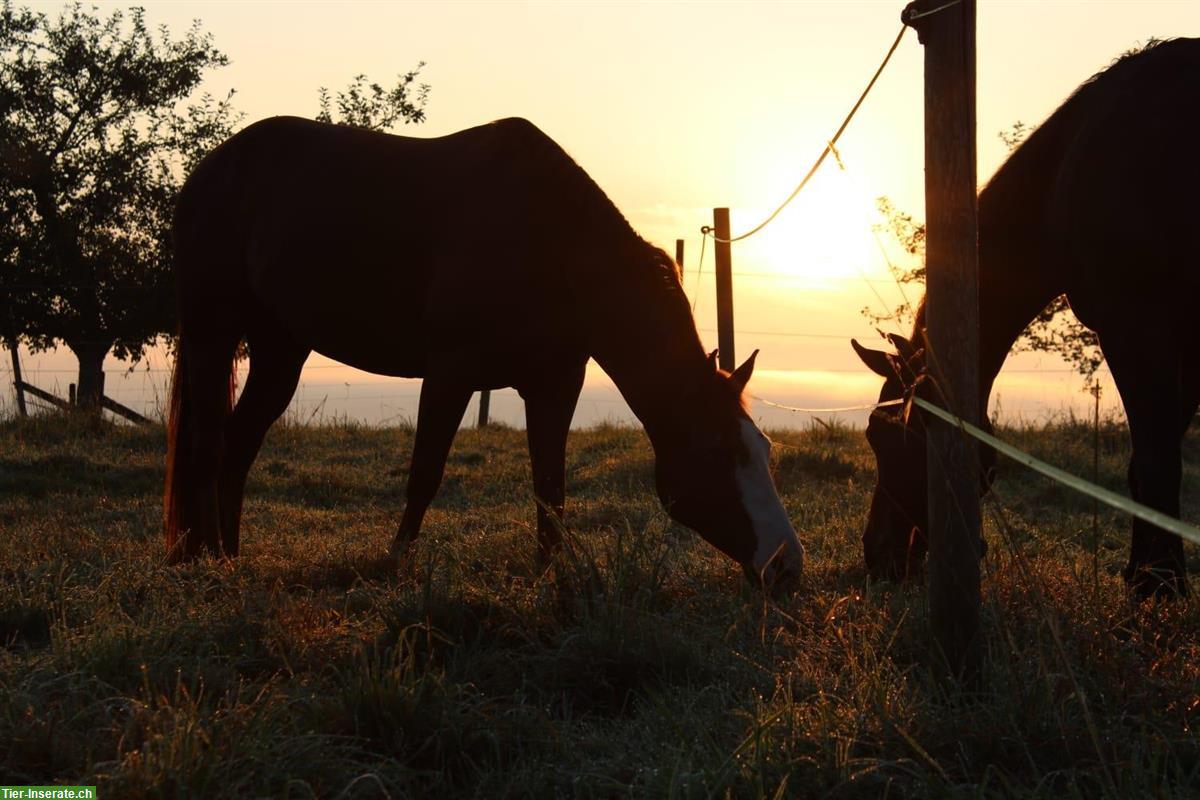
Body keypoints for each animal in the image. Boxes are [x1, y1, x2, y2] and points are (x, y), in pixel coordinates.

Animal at [164, 113, 806, 587]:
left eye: (766, 449)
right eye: (720, 452)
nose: (787, 568)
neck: (550, 244)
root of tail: (211, 169)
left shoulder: (554, 384)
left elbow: (551, 488)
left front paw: (550, 577)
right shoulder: (451, 372)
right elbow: (425, 474)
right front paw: (395, 566)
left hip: (281, 348)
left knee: (240, 444)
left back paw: (229, 557)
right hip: (211, 331)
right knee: (208, 444)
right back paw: (204, 561)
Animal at [854, 37, 1200, 597]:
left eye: (887, 436)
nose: (878, 556)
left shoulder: (1136, 328)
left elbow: (1154, 460)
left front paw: (1158, 585)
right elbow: (1150, 460)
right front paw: (1145, 573)